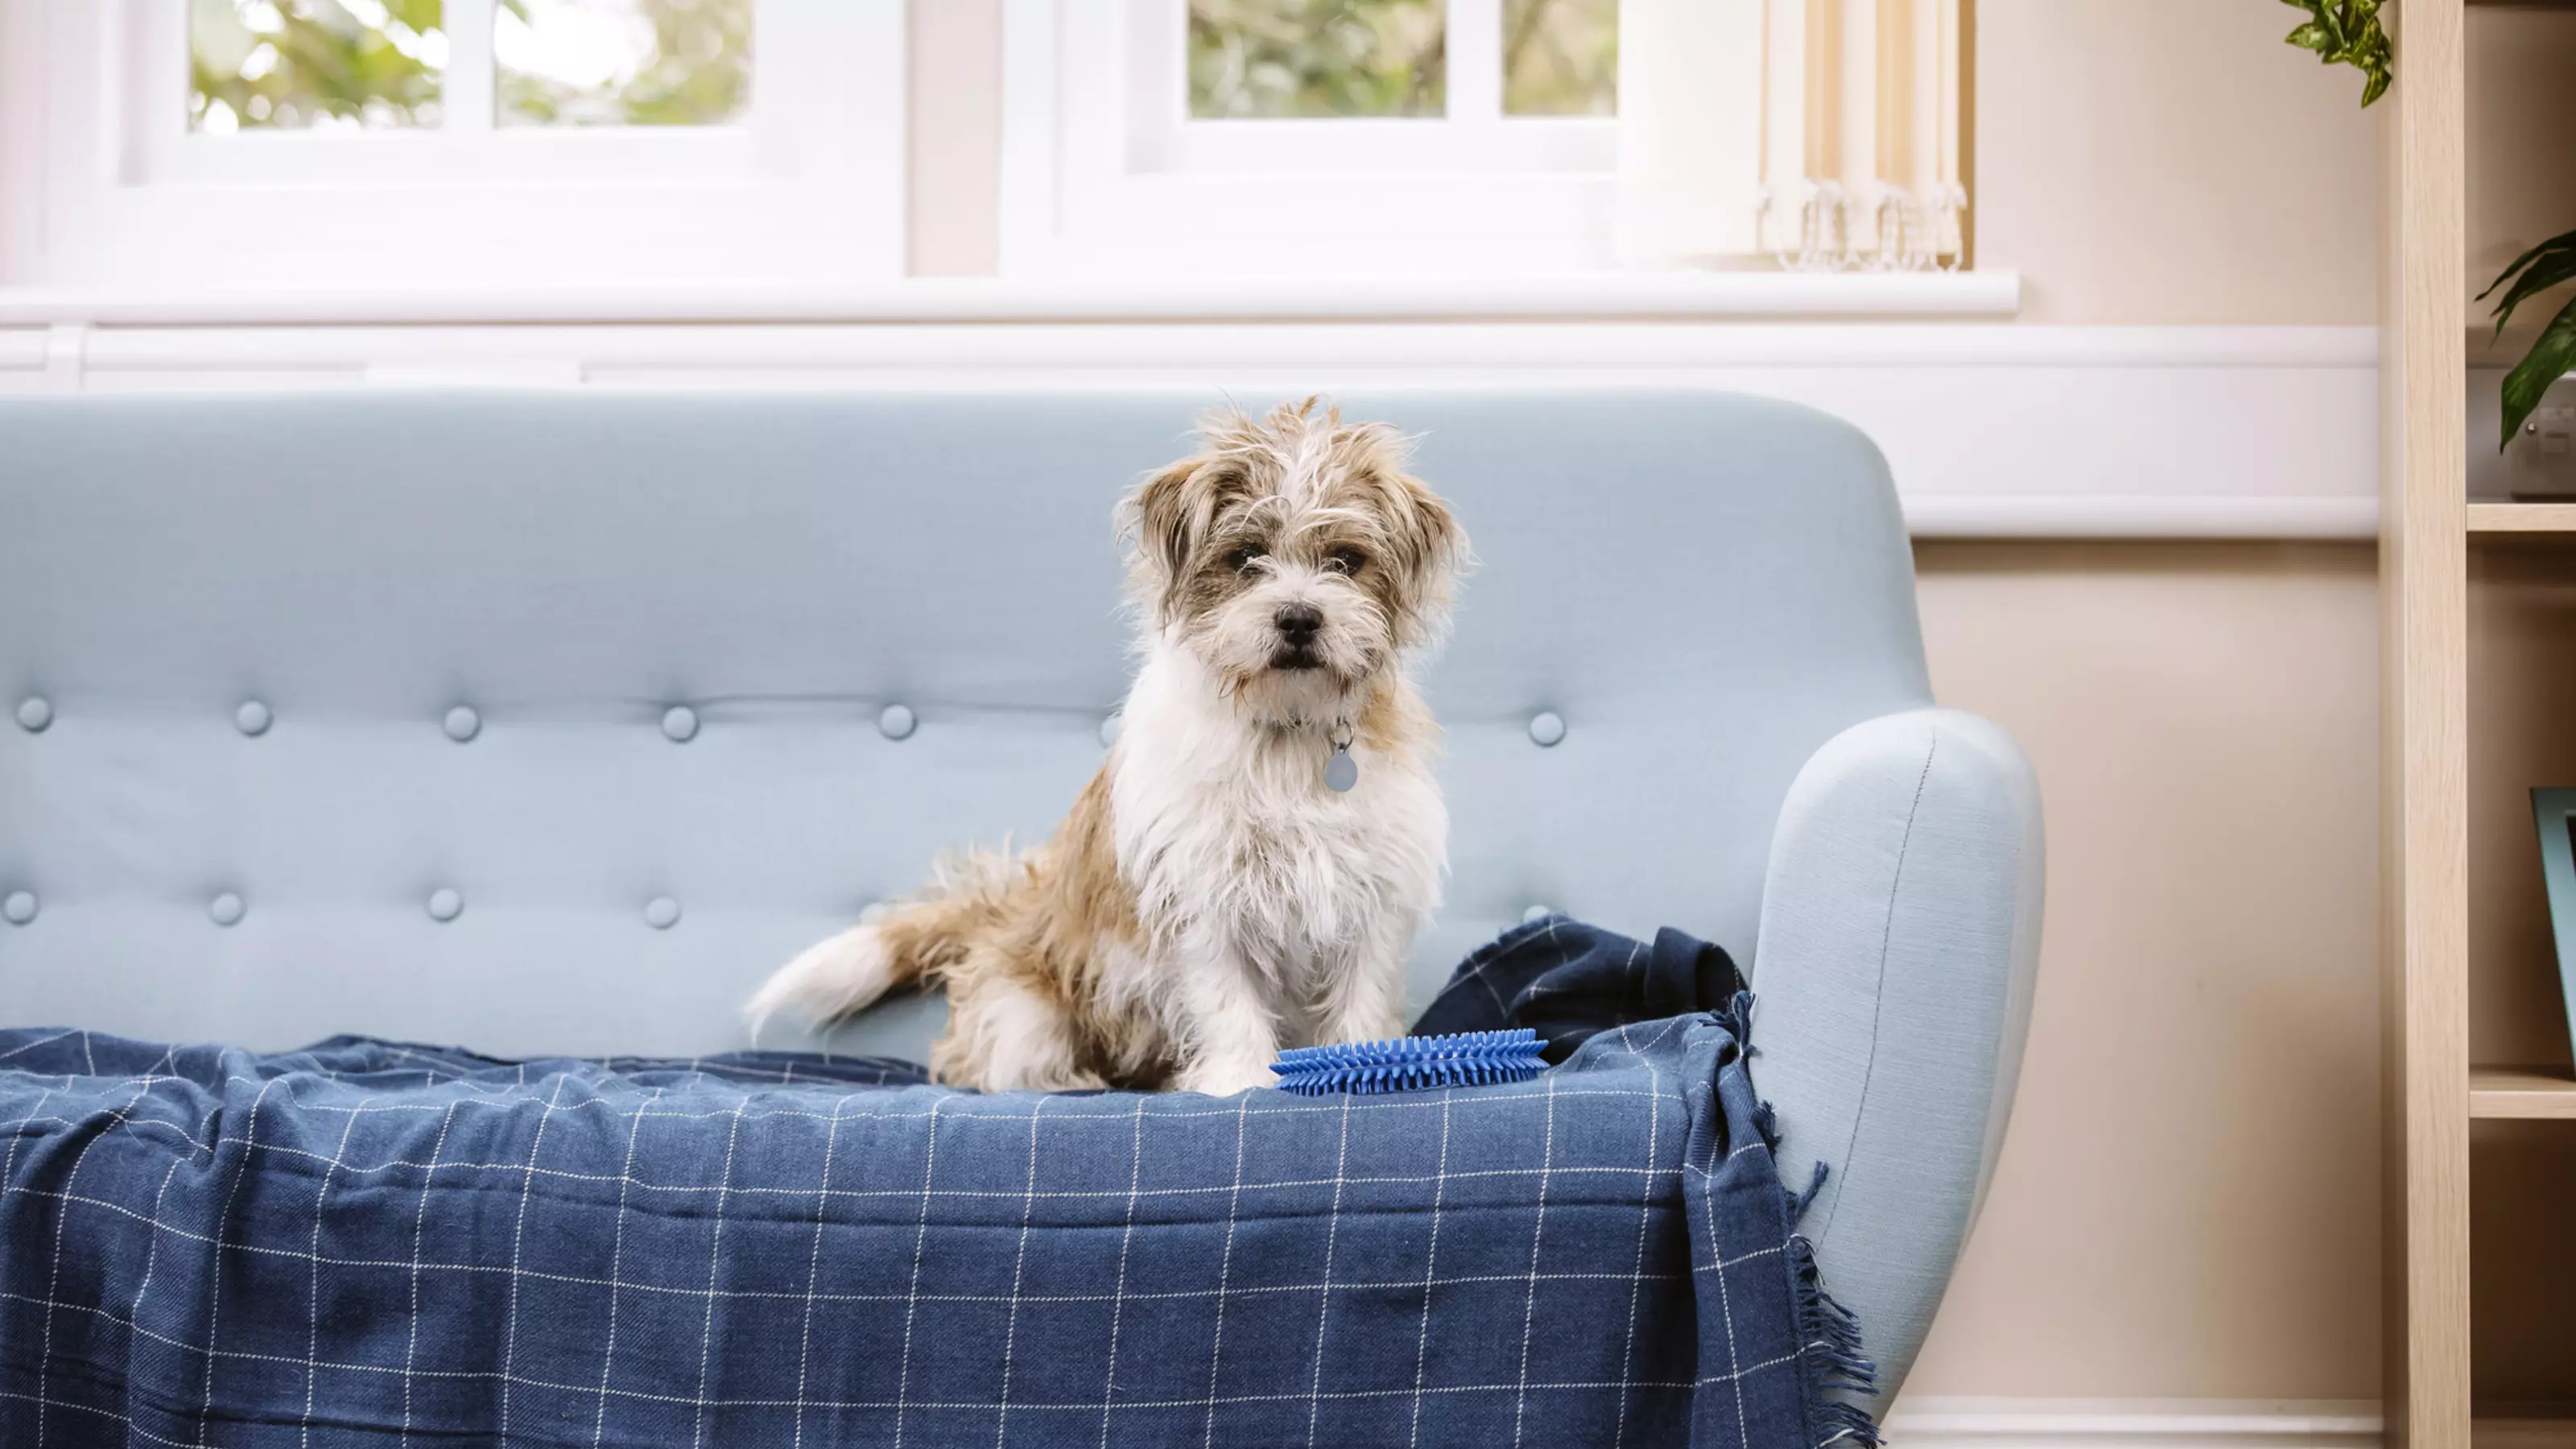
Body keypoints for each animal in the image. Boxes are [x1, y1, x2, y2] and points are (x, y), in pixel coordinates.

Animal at [747, 399, 1473, 1088]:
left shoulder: (1372, 891)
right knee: (993, 1065)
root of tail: (1007, 907)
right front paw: (1241, 1080)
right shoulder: (1201, 895)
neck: (1286, 732)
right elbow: (1227, 999)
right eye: (1246, 558)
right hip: (1025, 1011)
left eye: (1345, 561)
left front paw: (1361, 1066)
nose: (1299, 618)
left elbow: (1361, 994)